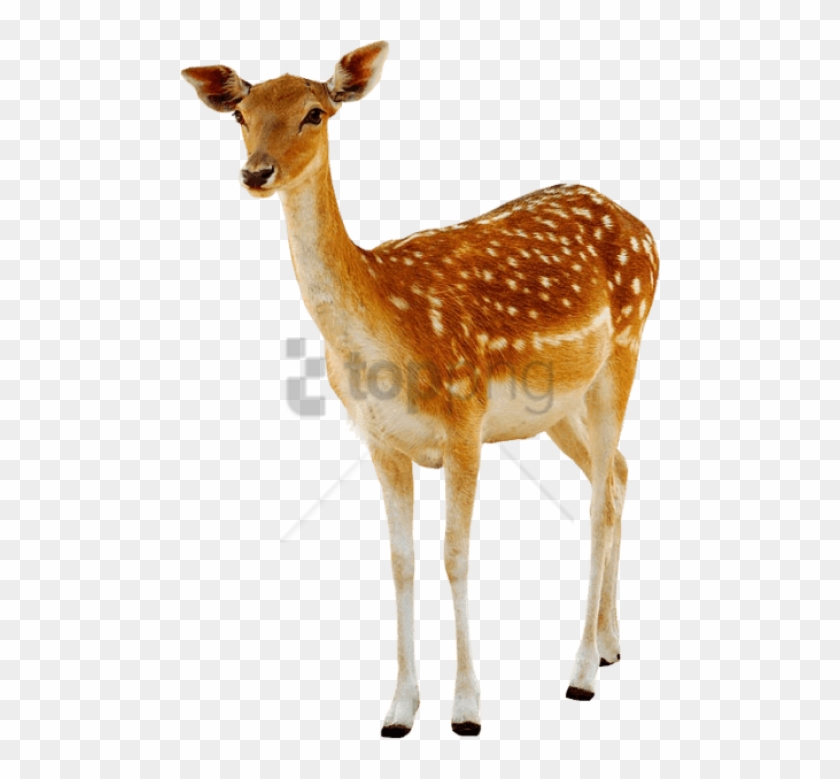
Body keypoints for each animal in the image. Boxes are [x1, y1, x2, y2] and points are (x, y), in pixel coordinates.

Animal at [182, 41, 659, 738]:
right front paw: (399, 711)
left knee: (600, 500)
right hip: (557, 408)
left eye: (314, 113)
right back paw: (610, 645)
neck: (387, 338)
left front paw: (467, 710)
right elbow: (400, 561)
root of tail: (644, 228)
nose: (256, 172)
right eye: (242, 114)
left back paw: (581, 673)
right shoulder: (381, 440)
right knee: (620, 472)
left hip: (625, 350)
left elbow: (454, 555)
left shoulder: (465, 421)